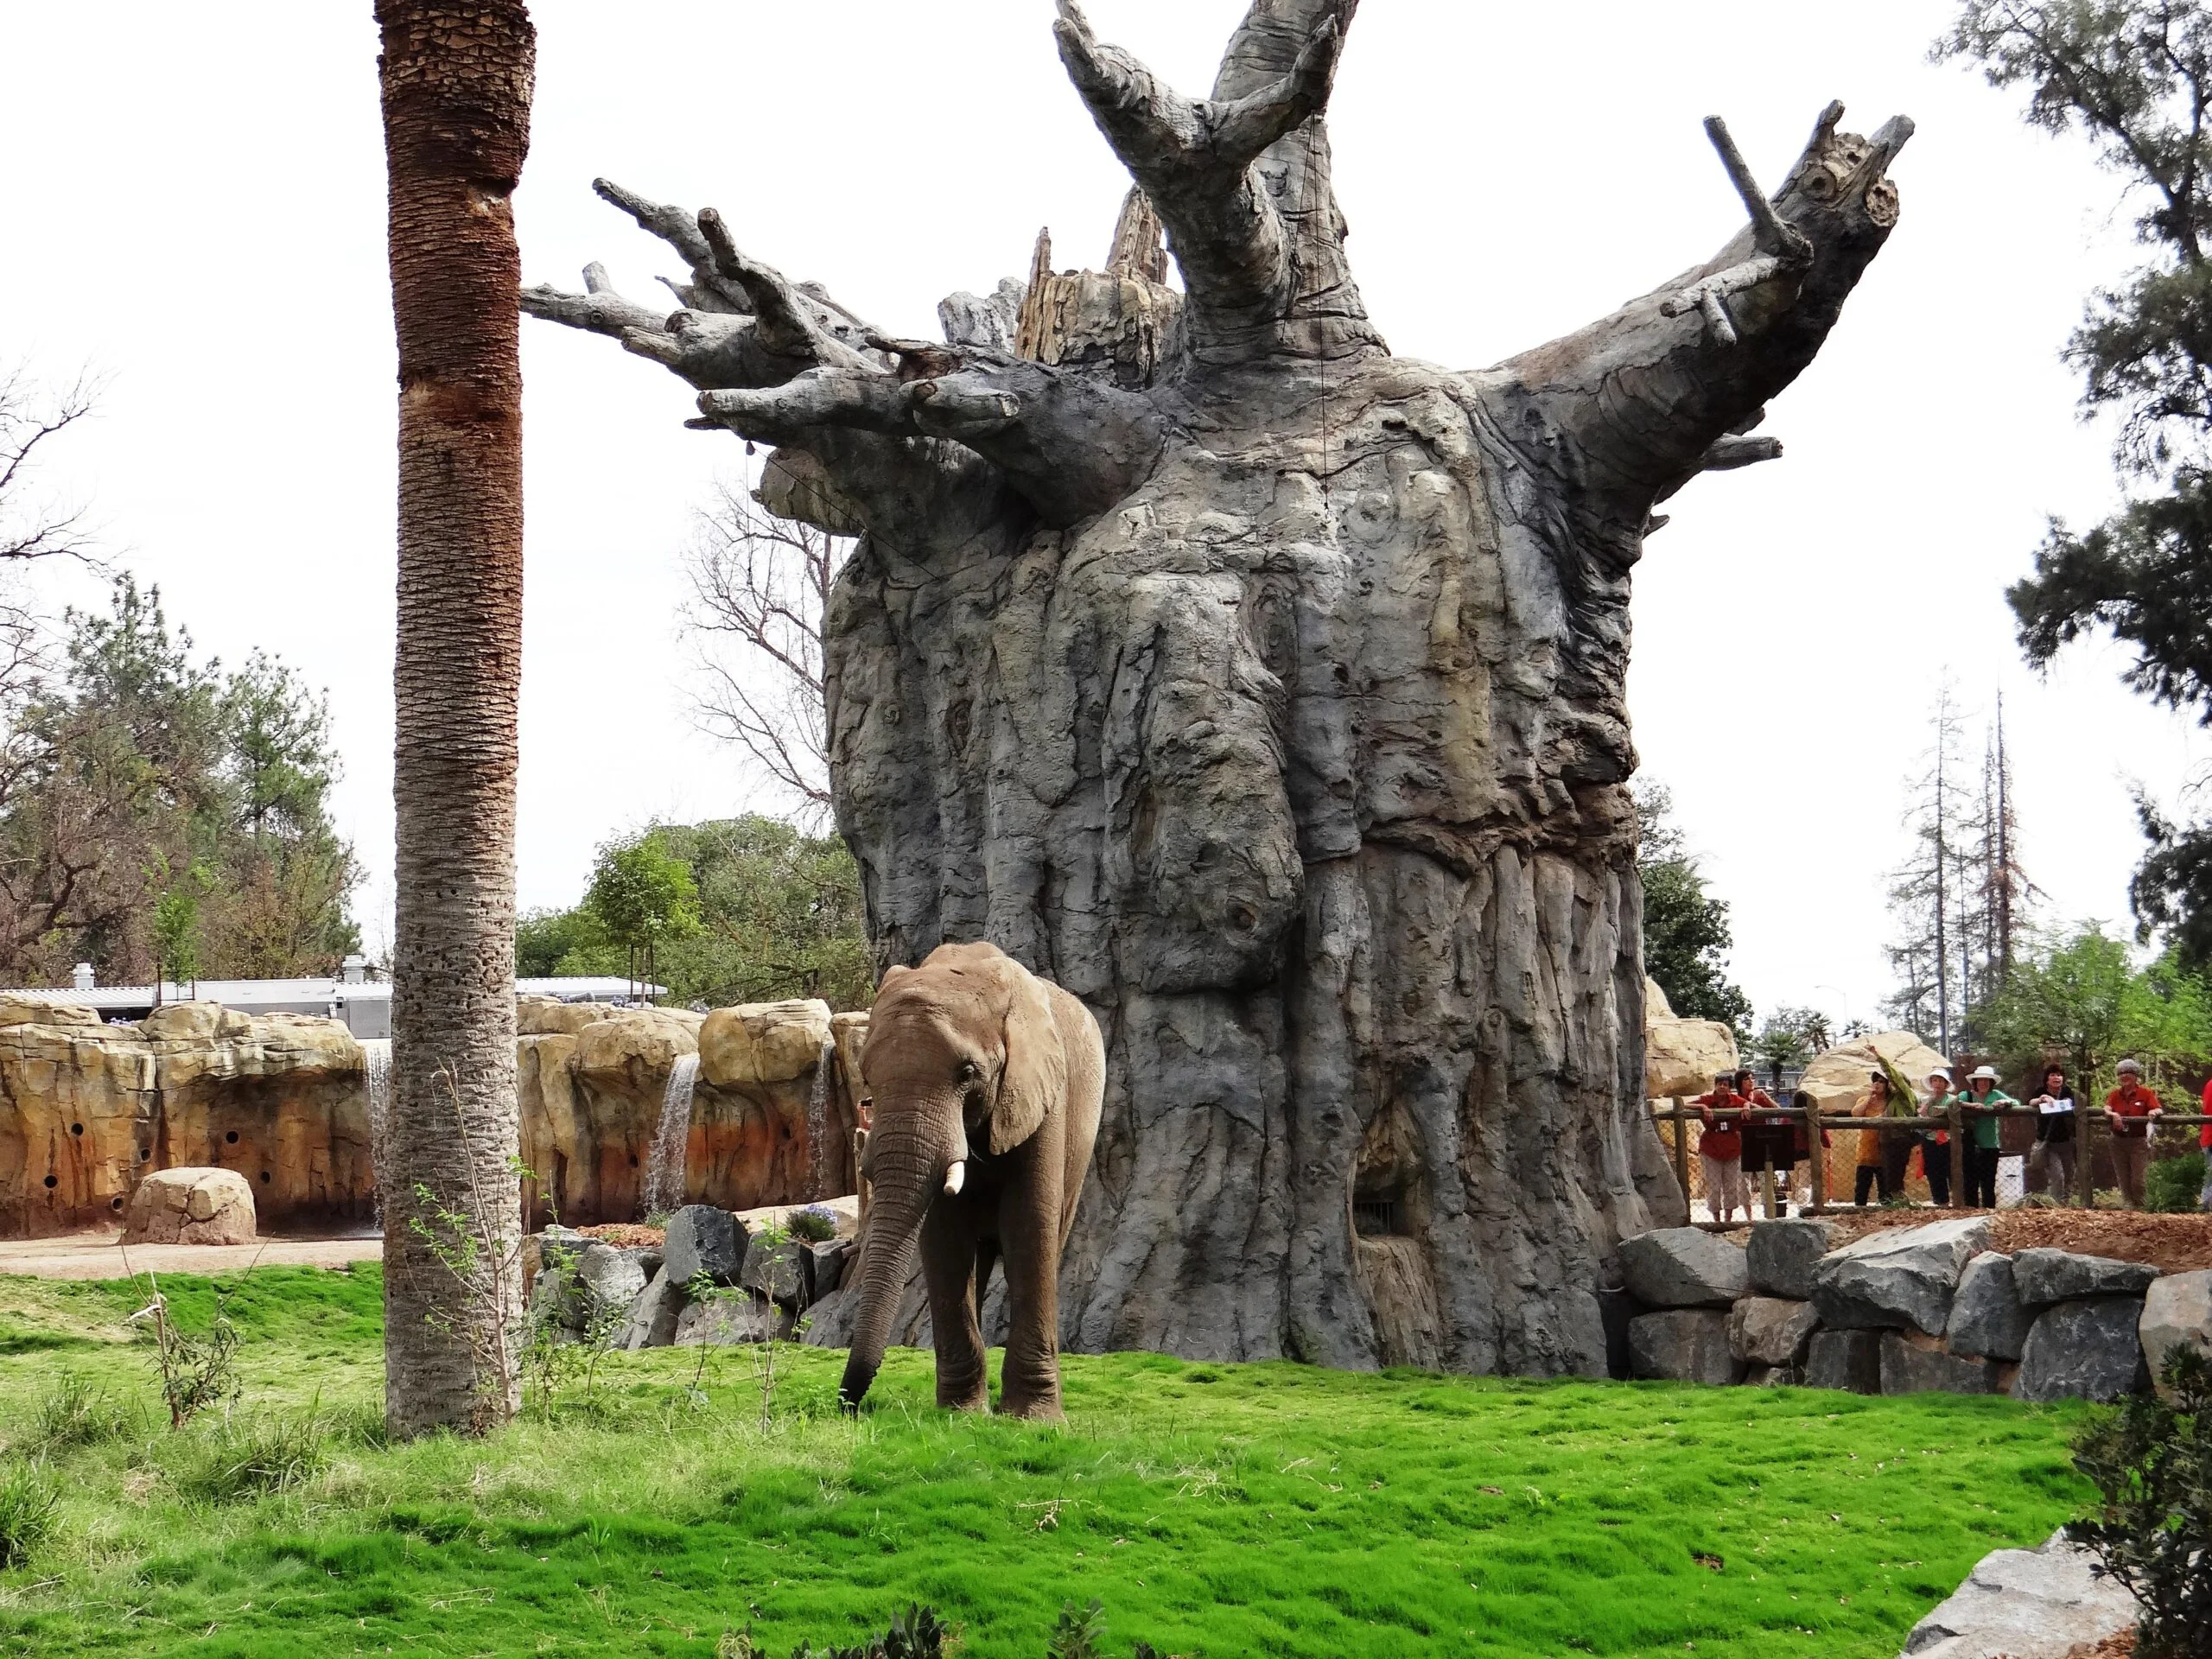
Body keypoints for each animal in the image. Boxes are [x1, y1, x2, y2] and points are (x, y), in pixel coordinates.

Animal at [838, 941, 1104, 1420]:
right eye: (866, 1077)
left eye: (967, 1073)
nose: (846, 1405)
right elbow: (944, 1237)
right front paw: (961, 1415)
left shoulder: (1042, 1094)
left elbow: (1028, 1225)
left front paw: (1033, 1420)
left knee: (1048, 1240)